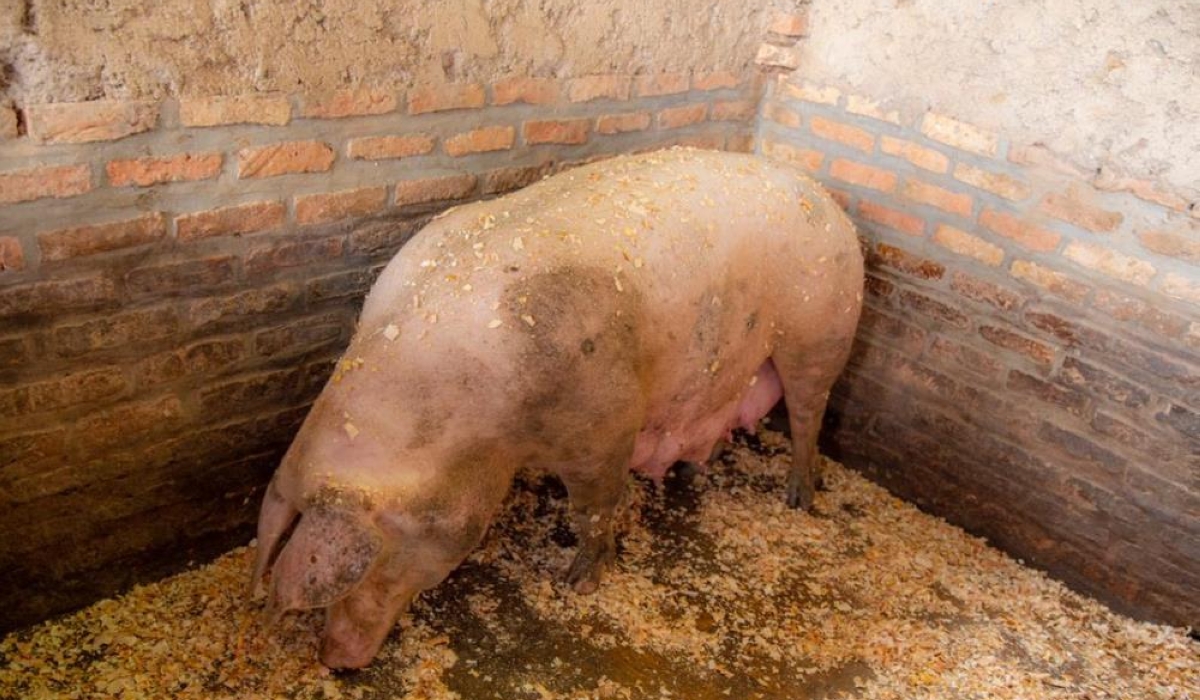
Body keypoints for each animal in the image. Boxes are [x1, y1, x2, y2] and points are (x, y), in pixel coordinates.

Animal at [250, 148, 864, 668]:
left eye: (378, 561)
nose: (334, 660)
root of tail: (823, 196)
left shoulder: (607, 423)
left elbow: (594, 507)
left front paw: (578, 583)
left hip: (822, 330)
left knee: (809, 415)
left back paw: (798, 498)